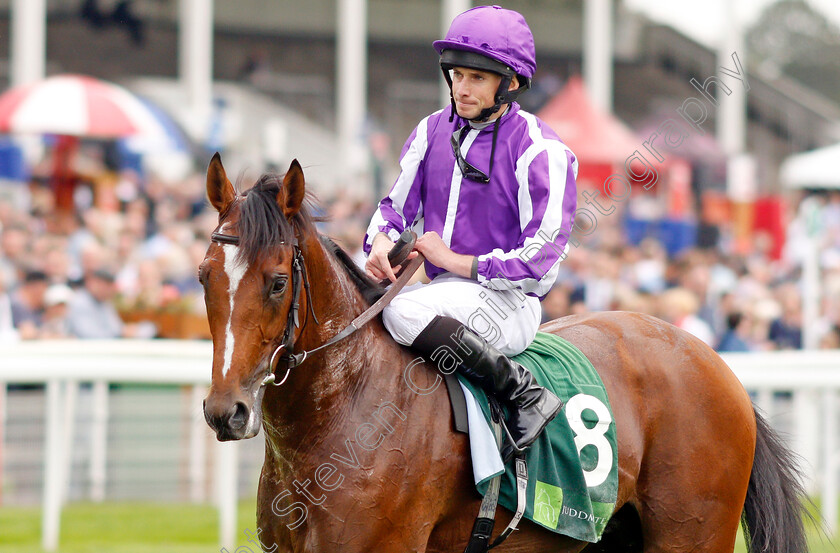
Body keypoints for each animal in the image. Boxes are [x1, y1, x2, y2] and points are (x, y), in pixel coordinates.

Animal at [200, 155, 812, 552]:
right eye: (205, 276)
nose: (226, 411)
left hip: (692, 532)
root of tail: (712, 361)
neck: (348, 408)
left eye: (278, 282)